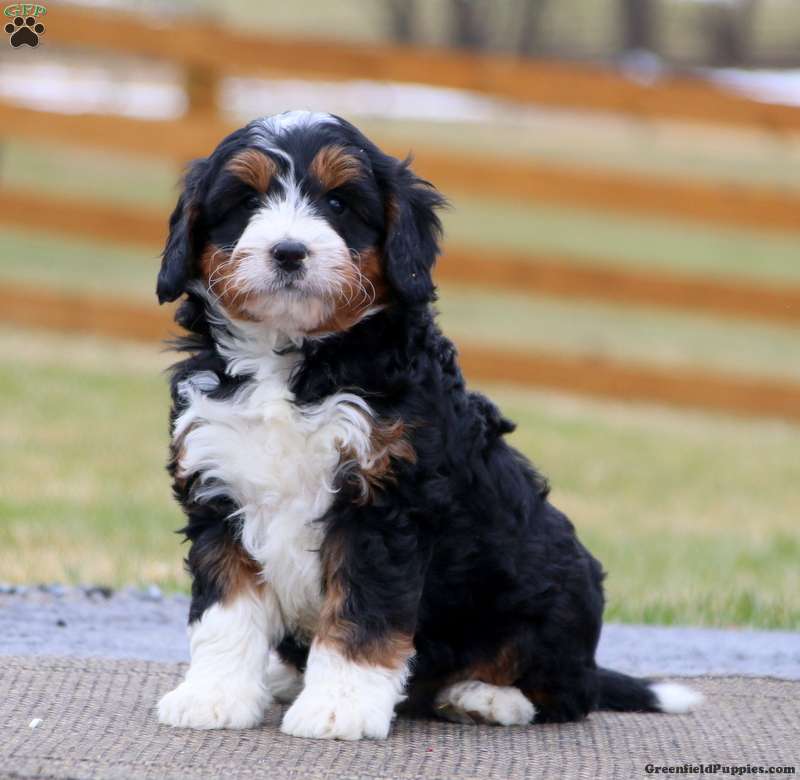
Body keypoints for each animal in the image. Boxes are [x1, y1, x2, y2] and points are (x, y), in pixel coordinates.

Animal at [155, 108, 700, 736]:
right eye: (246, 200)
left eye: (339, 203)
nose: (289, 252)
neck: (292, 358)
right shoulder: (218, 487)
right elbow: (226, 610)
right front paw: (214, 695)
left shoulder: (384, 501)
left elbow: (363, 615)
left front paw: (339, 705)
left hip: (551, 582)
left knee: (565, 688)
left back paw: (485, 698)